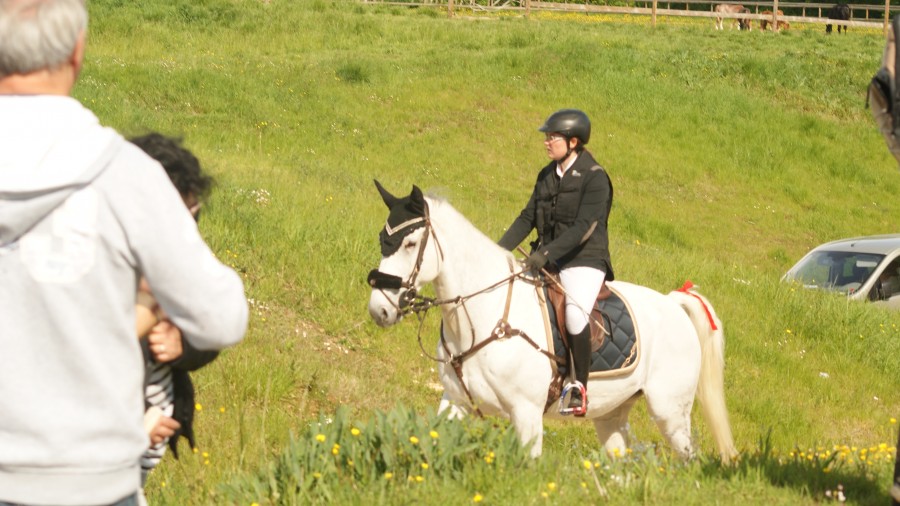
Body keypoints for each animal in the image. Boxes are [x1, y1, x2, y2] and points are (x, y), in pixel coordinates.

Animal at [367, 182, 738, 461]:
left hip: (669, 412)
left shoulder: (526, 414)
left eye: (410, 243)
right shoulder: (455, 402)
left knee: (687, 459)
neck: (481, 316)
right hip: (612, 415)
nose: (379, 310)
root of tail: (674, 304)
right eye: (383, 240)